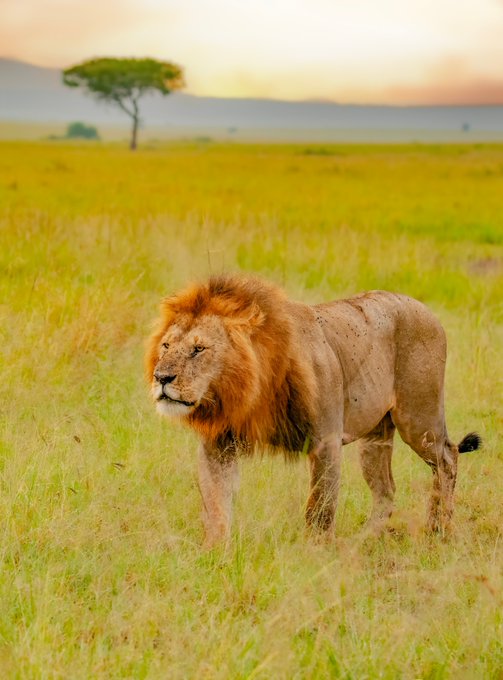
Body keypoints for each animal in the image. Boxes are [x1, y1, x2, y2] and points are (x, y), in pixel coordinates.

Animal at [146, 274, 481, 548]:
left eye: (198, 349)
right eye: (166, 346)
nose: (161, 378)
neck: (251, 390)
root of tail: (426, 310)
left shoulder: (326, 440)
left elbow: (320, 506)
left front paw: (315, 554)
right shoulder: (218, 444)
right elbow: (216, 502)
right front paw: (215, 553)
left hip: (418, 418)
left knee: (448, 457)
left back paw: (438, 528)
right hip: (375, 439)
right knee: (386, 490)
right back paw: (363, 541)